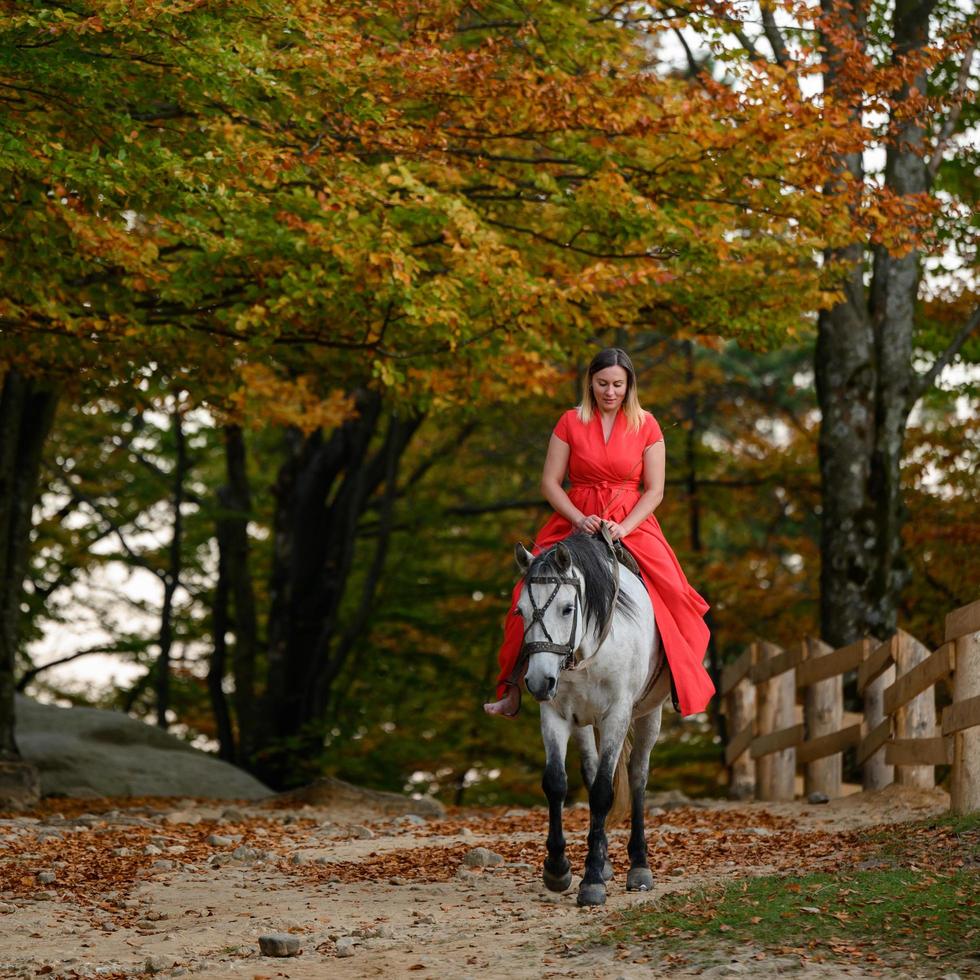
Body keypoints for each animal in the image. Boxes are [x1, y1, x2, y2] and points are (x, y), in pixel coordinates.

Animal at [512, 532, 668, 908]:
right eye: (520, 611)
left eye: (567, 608)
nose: (538, 681)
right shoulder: (555, 714)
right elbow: (556, 783)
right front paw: (557, 868)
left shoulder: (617, 715)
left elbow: (601, 792)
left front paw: (592, 880)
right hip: (584, 723)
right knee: (590, 768)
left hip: (649, 715)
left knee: (637, 776)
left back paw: (638, 866)